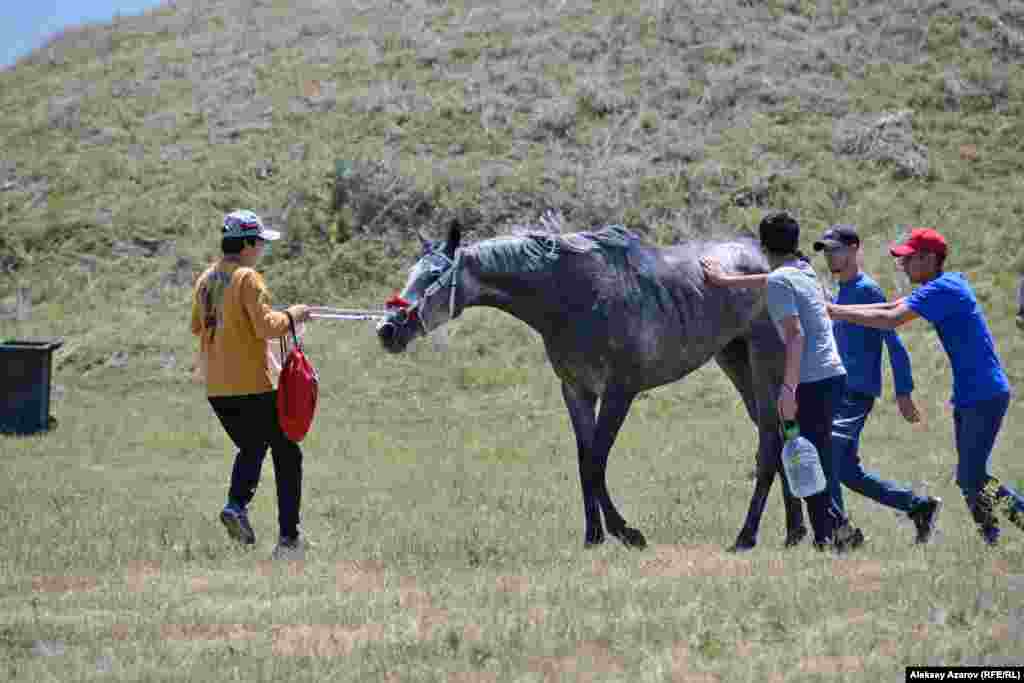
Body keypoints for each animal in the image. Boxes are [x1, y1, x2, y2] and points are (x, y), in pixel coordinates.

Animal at [378, 219, 806, 548]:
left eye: (434, 276)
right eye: (411, 272)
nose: (387, 330)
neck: (574, 295)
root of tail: (778, 266)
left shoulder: (619, 392)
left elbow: (598, 460)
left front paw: (627, 533)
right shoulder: (577, 391)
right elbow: (585, 462)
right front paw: (594, 536)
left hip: (764, 364)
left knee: (771, 440)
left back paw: (748, 536)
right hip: (735, 361)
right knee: (775, 435)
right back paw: (793, 531)